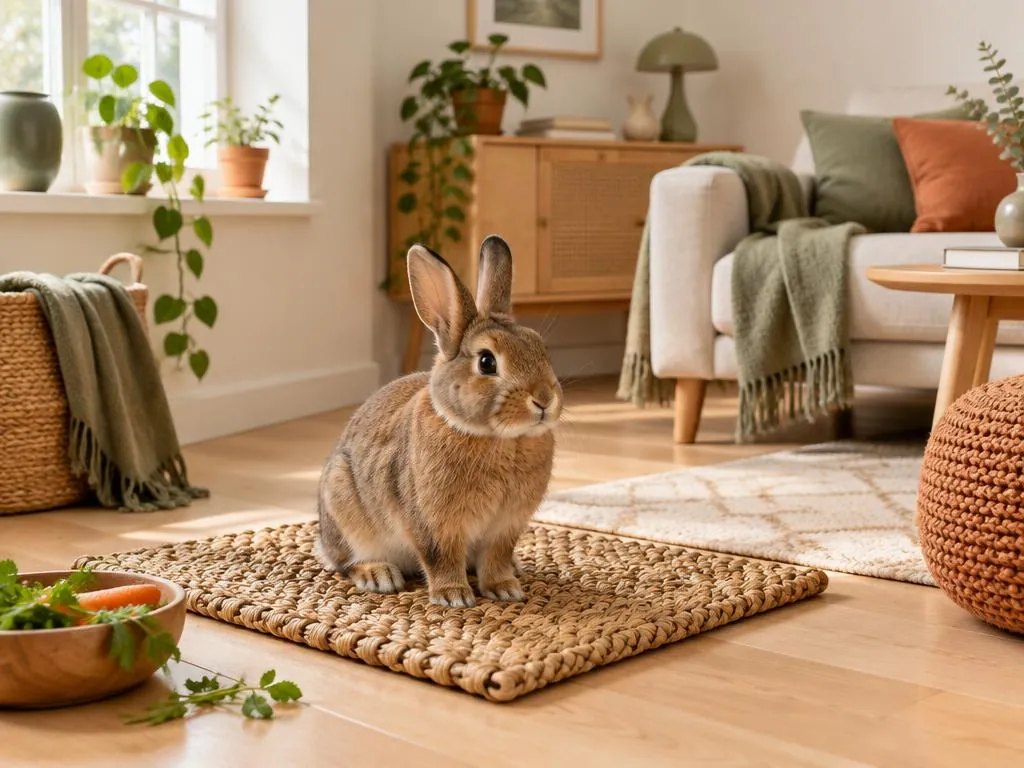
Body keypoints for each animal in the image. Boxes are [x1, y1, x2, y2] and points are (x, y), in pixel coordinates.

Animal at [314, 234, 563, 607]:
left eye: (540, 348)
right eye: (487, 362)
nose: (545, 400)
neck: (499, 439)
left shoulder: (505, 527)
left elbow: (497, 557)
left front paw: (505, 589)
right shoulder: (433, 523)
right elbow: (440, 557)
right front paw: (454, 596)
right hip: (344, 507)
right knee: (345, 563)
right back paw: (378, 575)